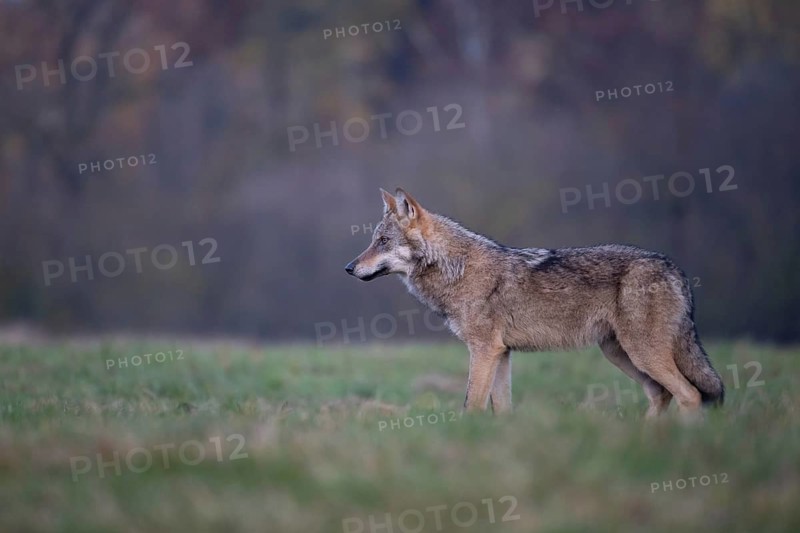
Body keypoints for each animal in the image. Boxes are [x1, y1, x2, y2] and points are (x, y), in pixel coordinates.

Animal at [345, 188, 724, 417]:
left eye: (382, 241)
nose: (349, 268)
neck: (457, 269)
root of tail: (674, 268)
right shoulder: (501, 354)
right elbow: (502, 409)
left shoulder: (484, 350)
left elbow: (471, 404)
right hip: (620, 354)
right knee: (662, 395)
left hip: (641, 353)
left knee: (690, 395)